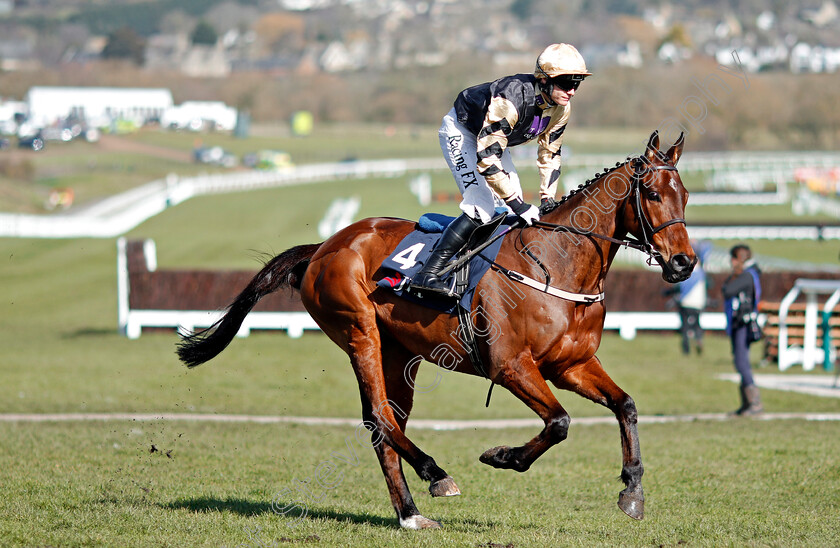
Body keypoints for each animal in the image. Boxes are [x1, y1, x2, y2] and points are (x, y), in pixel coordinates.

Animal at [179, 131, 696, 528]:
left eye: (686, 196)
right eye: (652, 194)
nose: (684, 263)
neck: (556, 264)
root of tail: (325, 245)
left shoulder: (571, 364)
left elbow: (625, 406)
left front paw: (632, 491)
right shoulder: (511, 366)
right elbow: (559, 422)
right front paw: (503, 456)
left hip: (399, 353)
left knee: (383, 426)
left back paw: (409, 513)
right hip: (360, 333)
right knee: (381, 419)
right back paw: (435, 474)